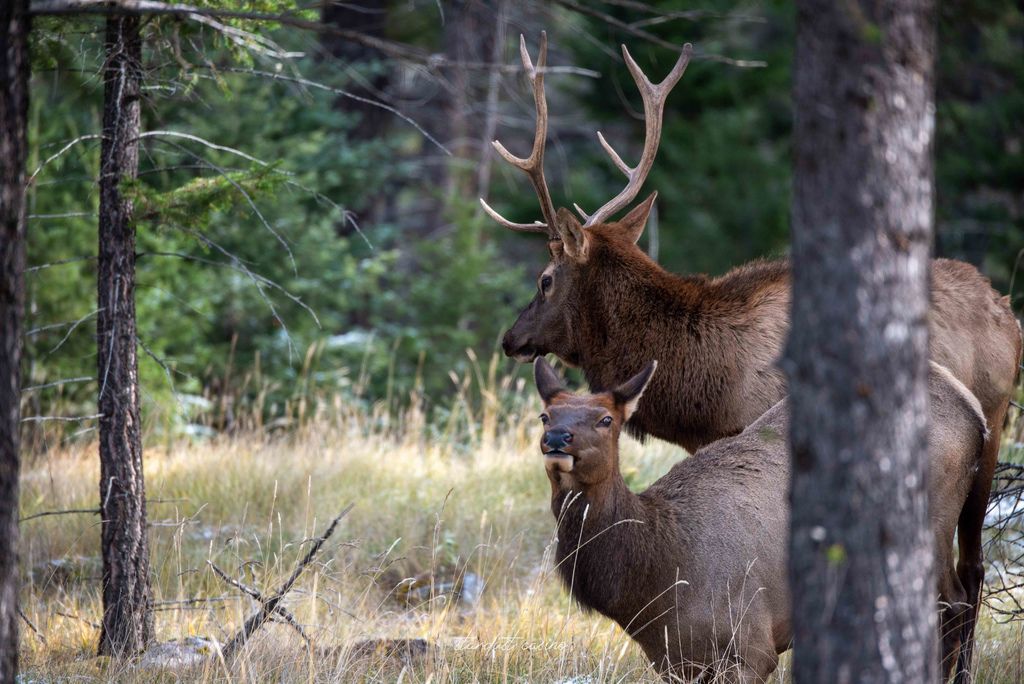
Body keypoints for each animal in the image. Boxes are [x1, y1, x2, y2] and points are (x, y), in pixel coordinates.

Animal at [536, 356, 991, 679]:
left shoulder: (750, 647)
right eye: (546, 414)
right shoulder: (676, 663)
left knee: (951, 603)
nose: (556, 438)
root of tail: (974, 409)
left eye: (606, 419)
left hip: (936, 521)